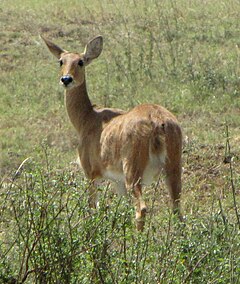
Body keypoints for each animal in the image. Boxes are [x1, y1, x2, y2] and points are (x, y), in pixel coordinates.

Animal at [41, 35, 184, 231]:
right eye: (61, 61)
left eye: (81, 61)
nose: (66, 79)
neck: (88, 118)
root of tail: (158, 121)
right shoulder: (118, 182)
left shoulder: (91, 173)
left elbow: (92, 208)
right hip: (173, 168)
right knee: (177, 209)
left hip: (133, 171)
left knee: (142, 209)